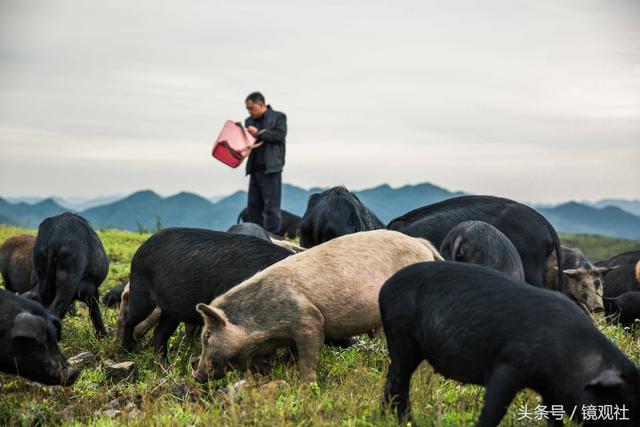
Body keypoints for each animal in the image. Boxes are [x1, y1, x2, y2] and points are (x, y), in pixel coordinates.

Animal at [117, 229, 292, 360]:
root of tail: (140, 249)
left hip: (172, 310)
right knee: (128, 320)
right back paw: (126, 351)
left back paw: (164, 365)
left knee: (159, 333)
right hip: (141, 291)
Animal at [192, 231, 442, 384]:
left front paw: (306, 385)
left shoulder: (308, 319)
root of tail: (422, 243)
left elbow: (308, 356)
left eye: (207, 335)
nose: (196, 375)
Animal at [380, 262, 640, 426]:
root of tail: (385, 286)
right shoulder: (508, 366)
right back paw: (408, 422)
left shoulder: (549, 389)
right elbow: (493, 411)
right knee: (399, 384)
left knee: (391, 381)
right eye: (623, 406)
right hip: (402, 338)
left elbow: (553, 419)